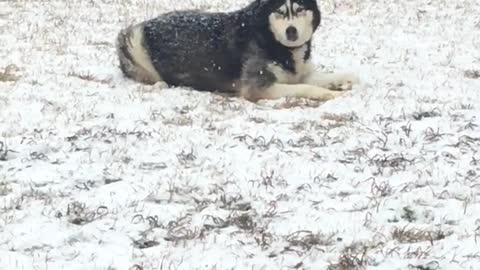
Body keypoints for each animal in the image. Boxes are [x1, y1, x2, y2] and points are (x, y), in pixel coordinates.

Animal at [116, 0, 358, 101]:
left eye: (299, 10)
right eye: (280, 12)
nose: (291, 31)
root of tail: (148, 22)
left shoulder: (302, 73)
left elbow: (327, 76)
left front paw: (345, 80)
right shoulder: (258, 87)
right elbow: (305, 87)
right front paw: (329, 93)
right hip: (132, 37)